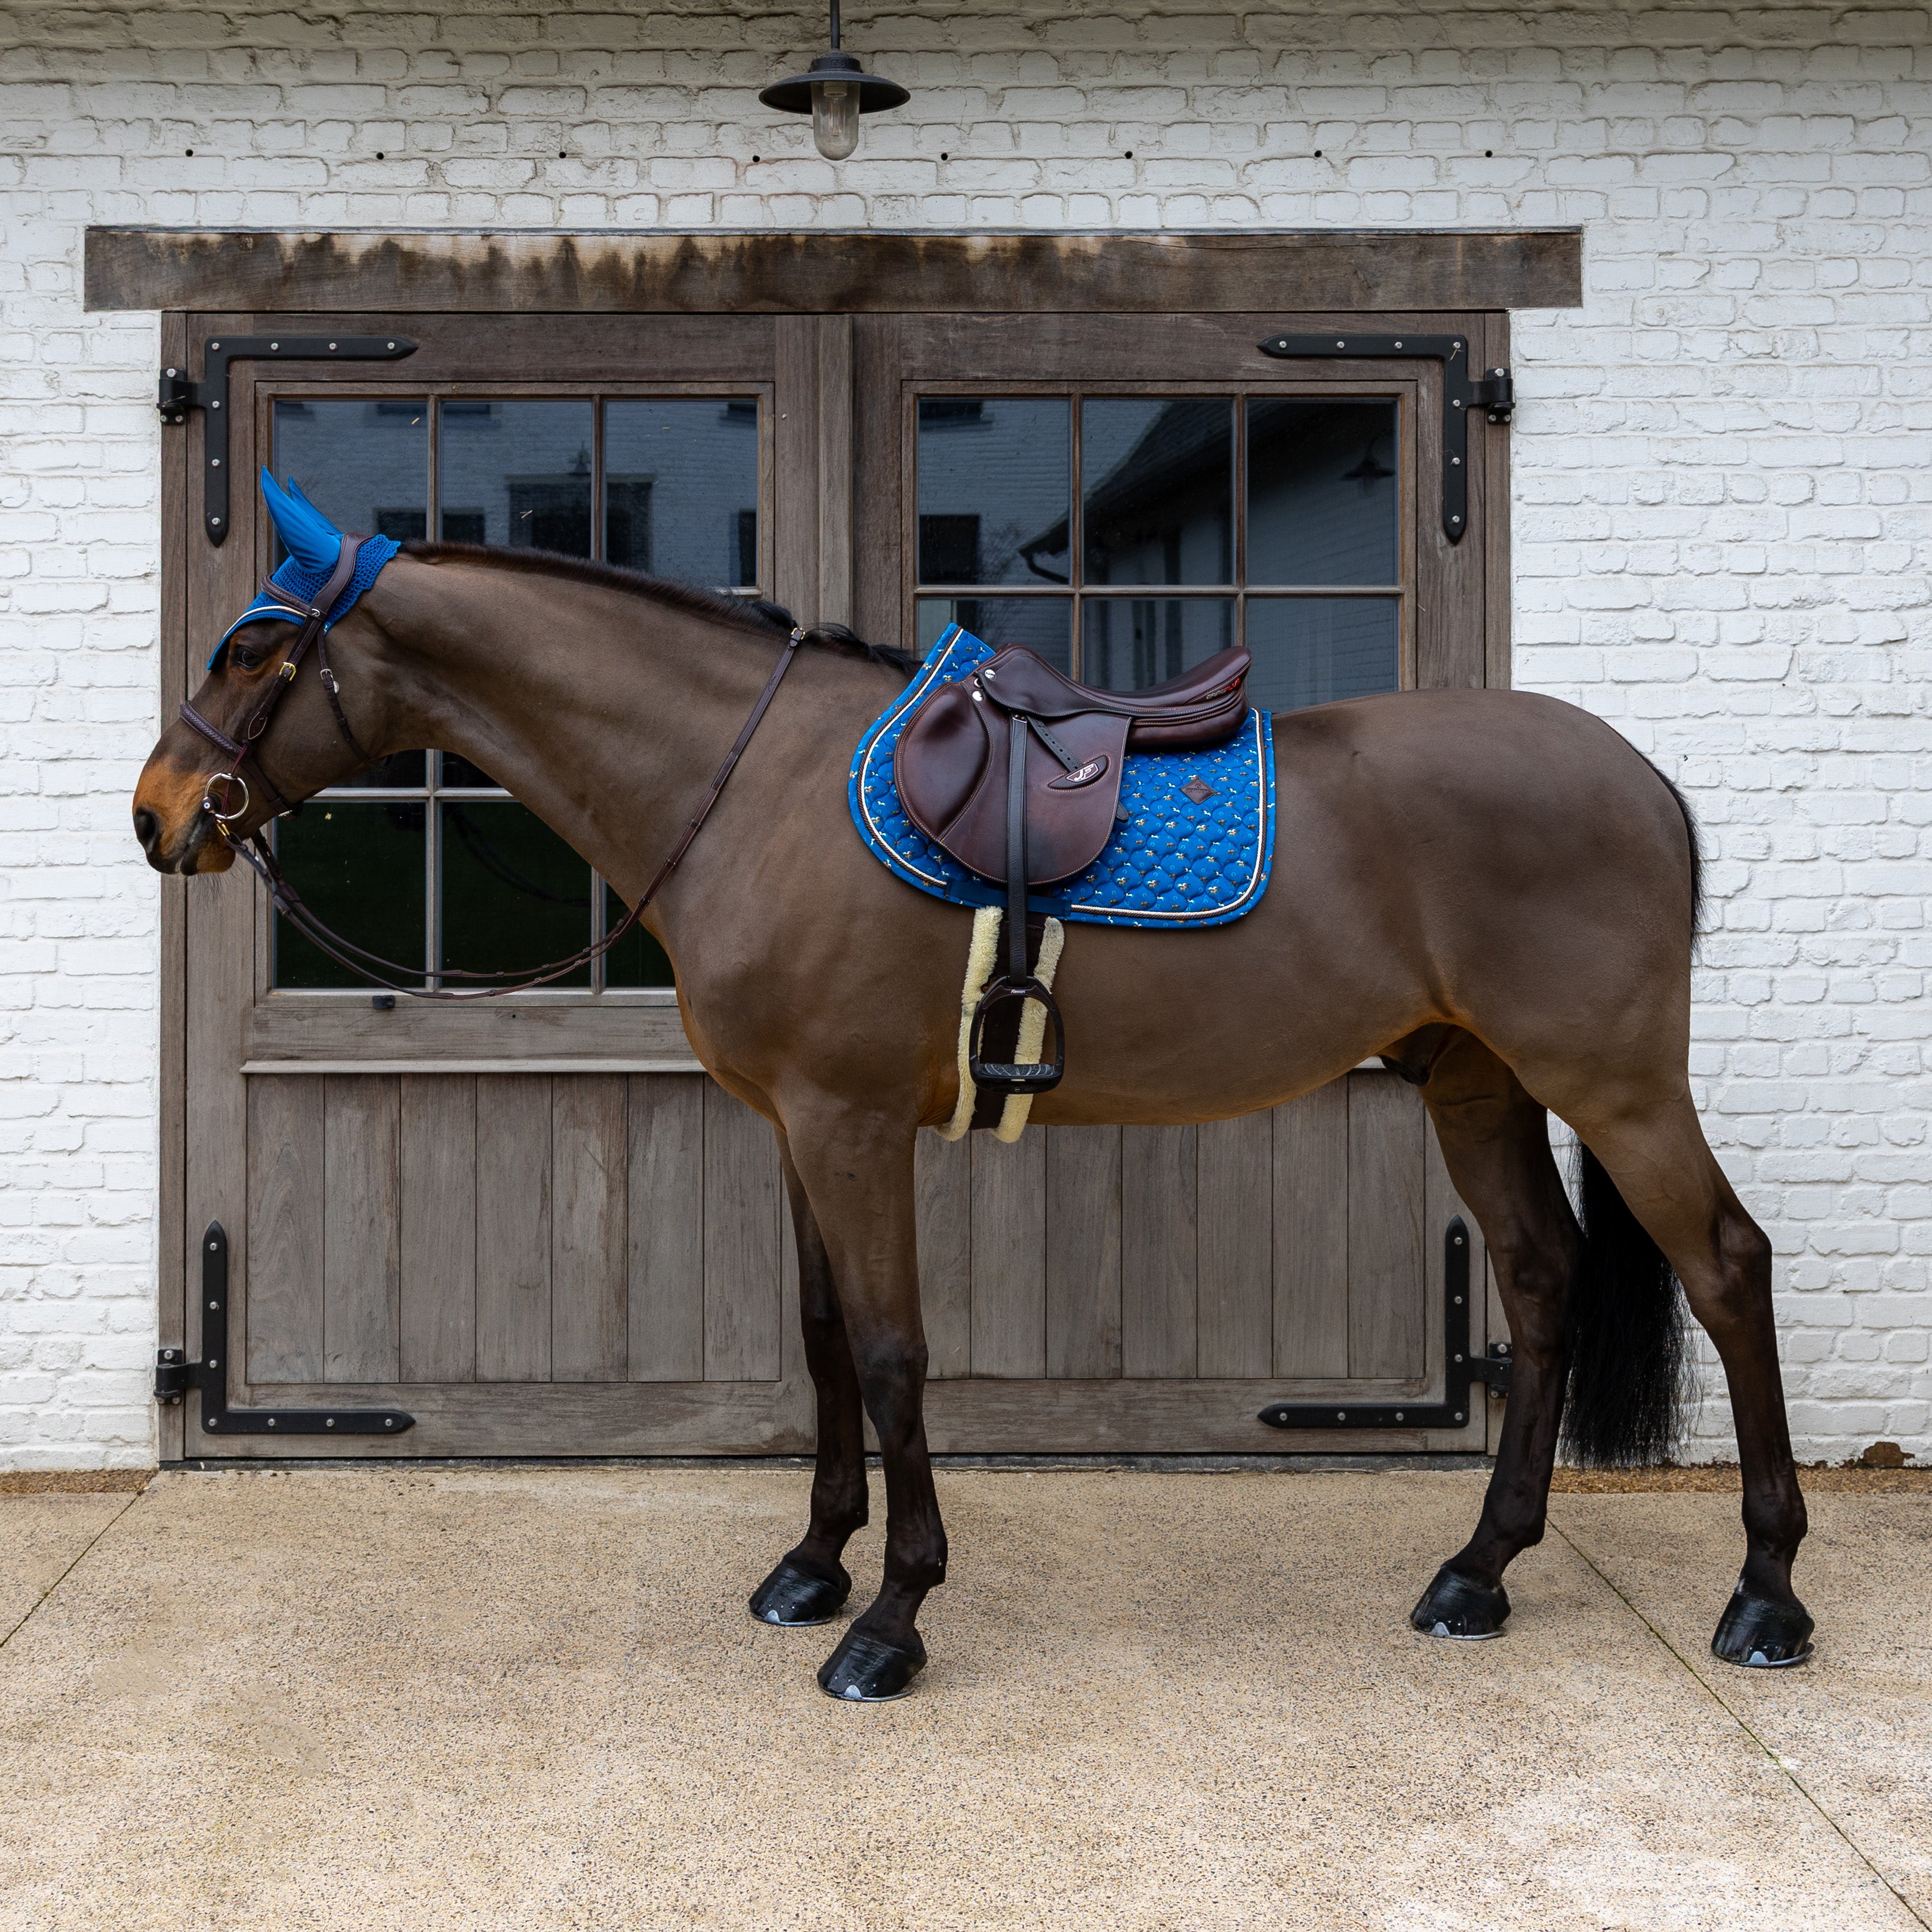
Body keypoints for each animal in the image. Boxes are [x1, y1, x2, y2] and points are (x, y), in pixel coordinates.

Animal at [133, 507, 1814, 1700]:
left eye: (251, 649)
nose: (158, 815)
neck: (752, 785)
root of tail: (1638, 776)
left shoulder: (850, 1126)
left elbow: (890, 1354)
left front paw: (889, 1618)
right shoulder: (793, 1128)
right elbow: (823, 1344)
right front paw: (812, 1564)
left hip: (1613, 1085)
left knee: (1727, 1267)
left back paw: (1764, 1594)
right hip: (1476, 1084)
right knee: (1537, 1279)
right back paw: (1479, 1572)